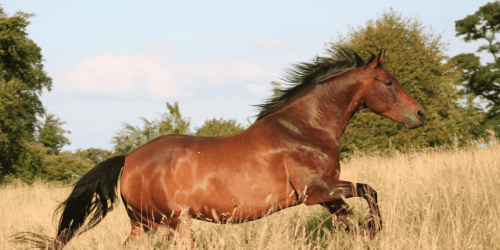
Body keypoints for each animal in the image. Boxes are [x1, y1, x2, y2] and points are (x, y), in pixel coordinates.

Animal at [12, 47, 426, 249]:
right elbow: (370, 191)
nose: (420, 114)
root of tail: (128, 160)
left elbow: (352, 220)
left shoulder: (326, 196)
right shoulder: (316, 191)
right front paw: (377, 229)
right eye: (388, 82)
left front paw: (369, 234)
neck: (304, 129)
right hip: (175, 224)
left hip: (144, 226)